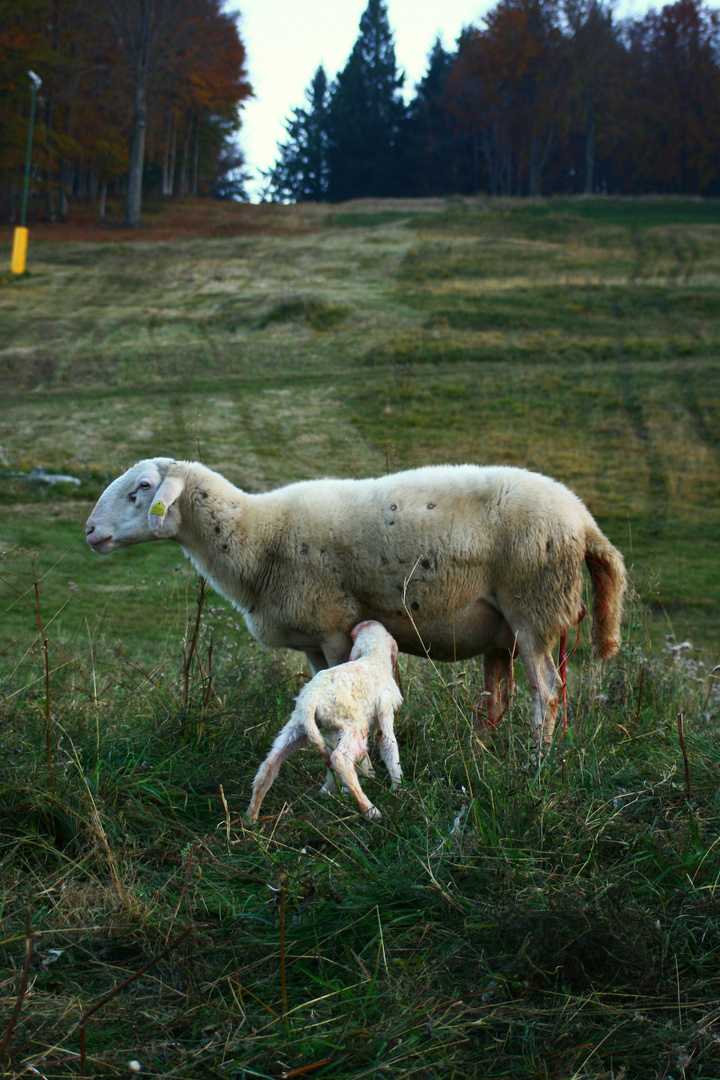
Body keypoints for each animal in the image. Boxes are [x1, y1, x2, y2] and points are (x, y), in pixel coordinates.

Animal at [248, 622, 405, 820]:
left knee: (270, 763)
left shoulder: (332, 729)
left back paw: (251, 817)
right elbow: (388, 746)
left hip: (298, 726)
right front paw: (398, 788)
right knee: (339, 759)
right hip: (353, 724)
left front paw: (329, 791)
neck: (372, 656)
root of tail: (311, 699)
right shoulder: (385, 709)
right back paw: (369, 809)